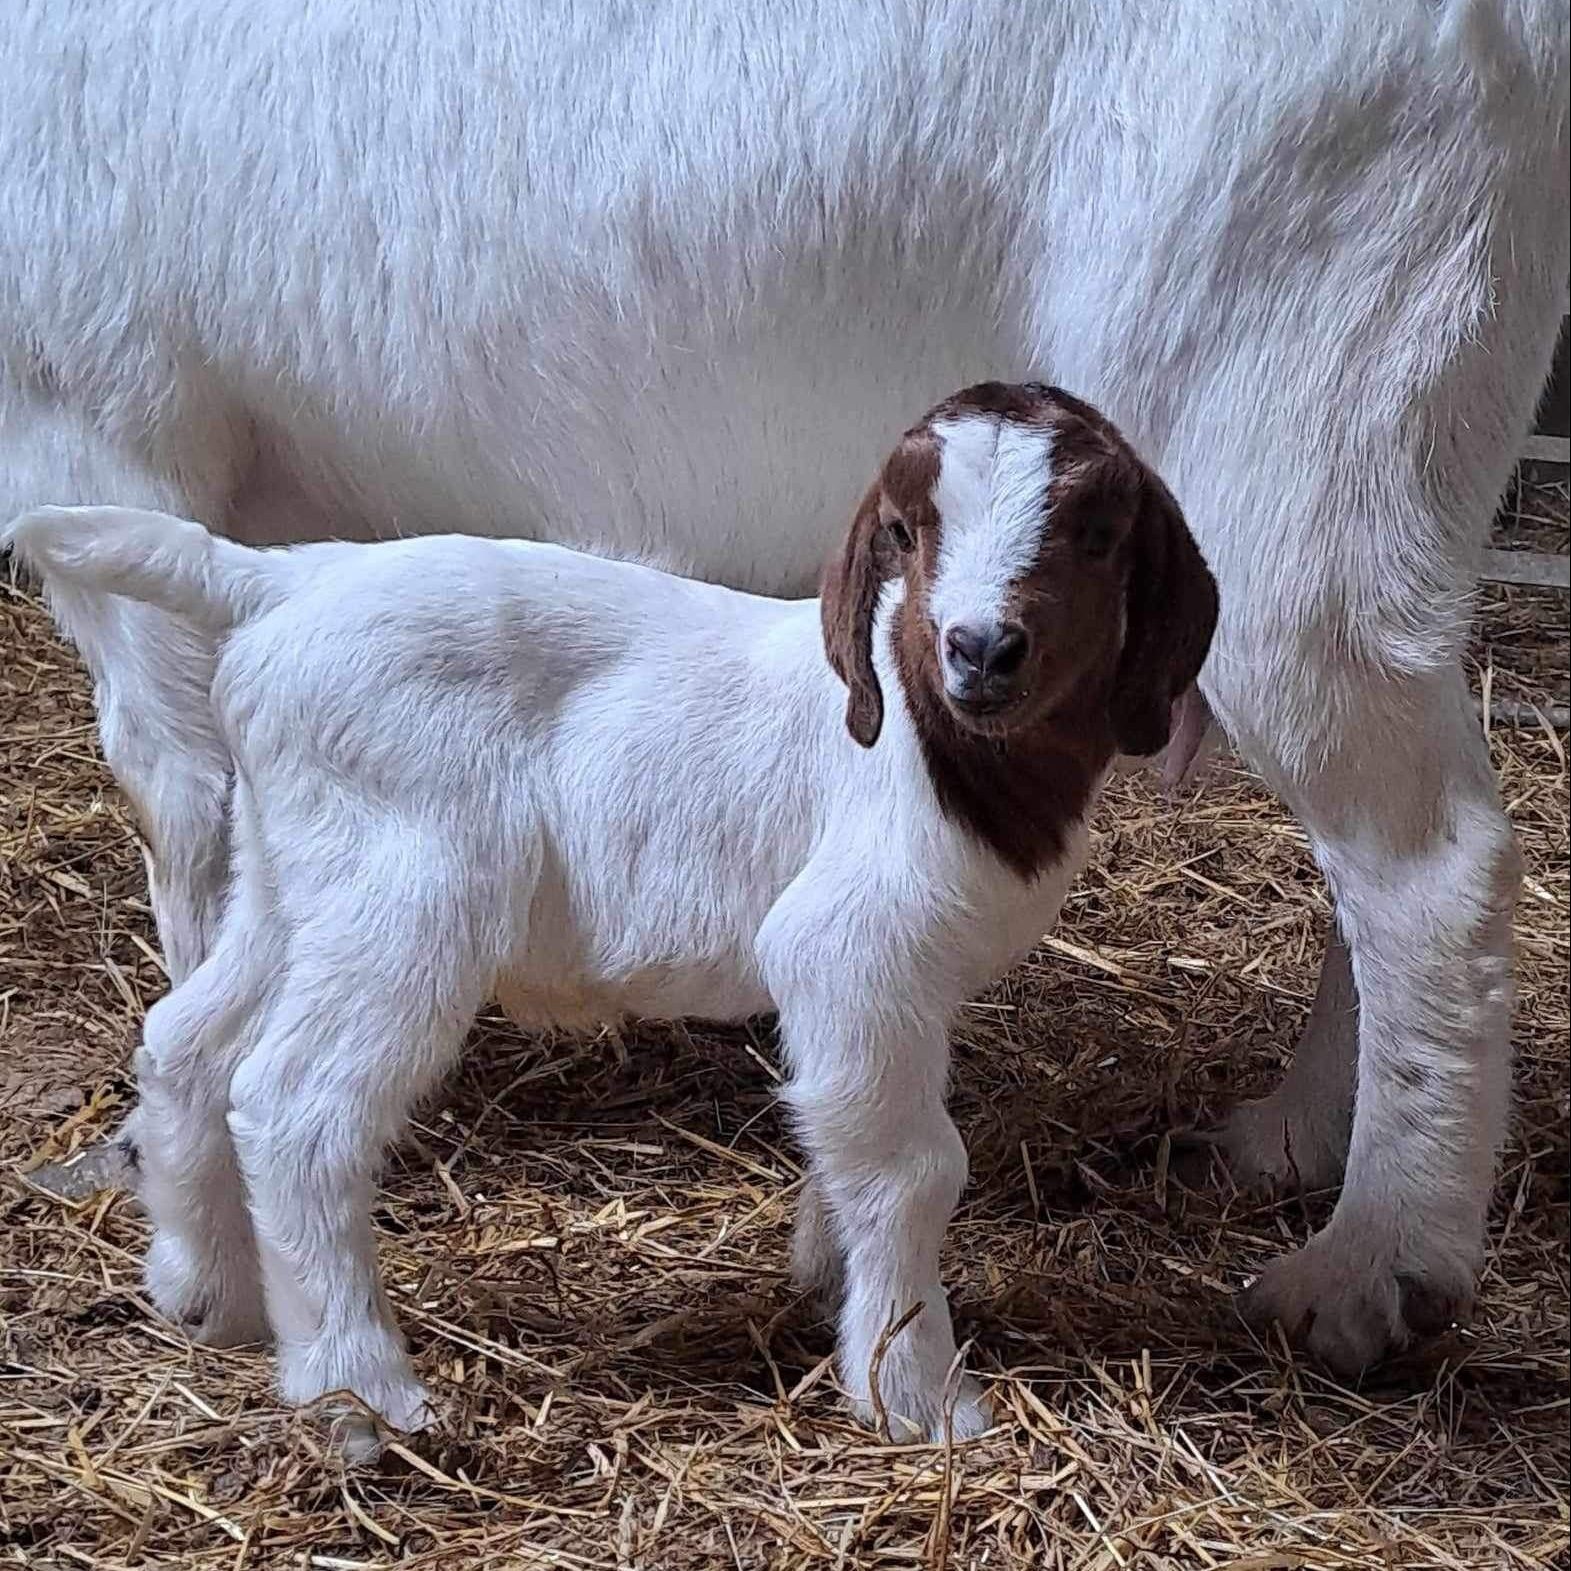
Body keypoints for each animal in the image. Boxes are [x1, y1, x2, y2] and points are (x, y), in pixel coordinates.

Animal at [5, 381, 1219, 1446]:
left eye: (1098, 532)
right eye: (908, 530)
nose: (979, 648)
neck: (933, 740)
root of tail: (276, 586)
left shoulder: (903, 988)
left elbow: (847, 1128)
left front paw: (826, 1274)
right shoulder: (848, 945)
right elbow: (916, 1165)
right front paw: (915, 1394)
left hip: (291, 870)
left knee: (185, 1039)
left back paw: (206, 1291)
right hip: (406, 888)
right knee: (297, 1103)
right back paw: (360, 1394)